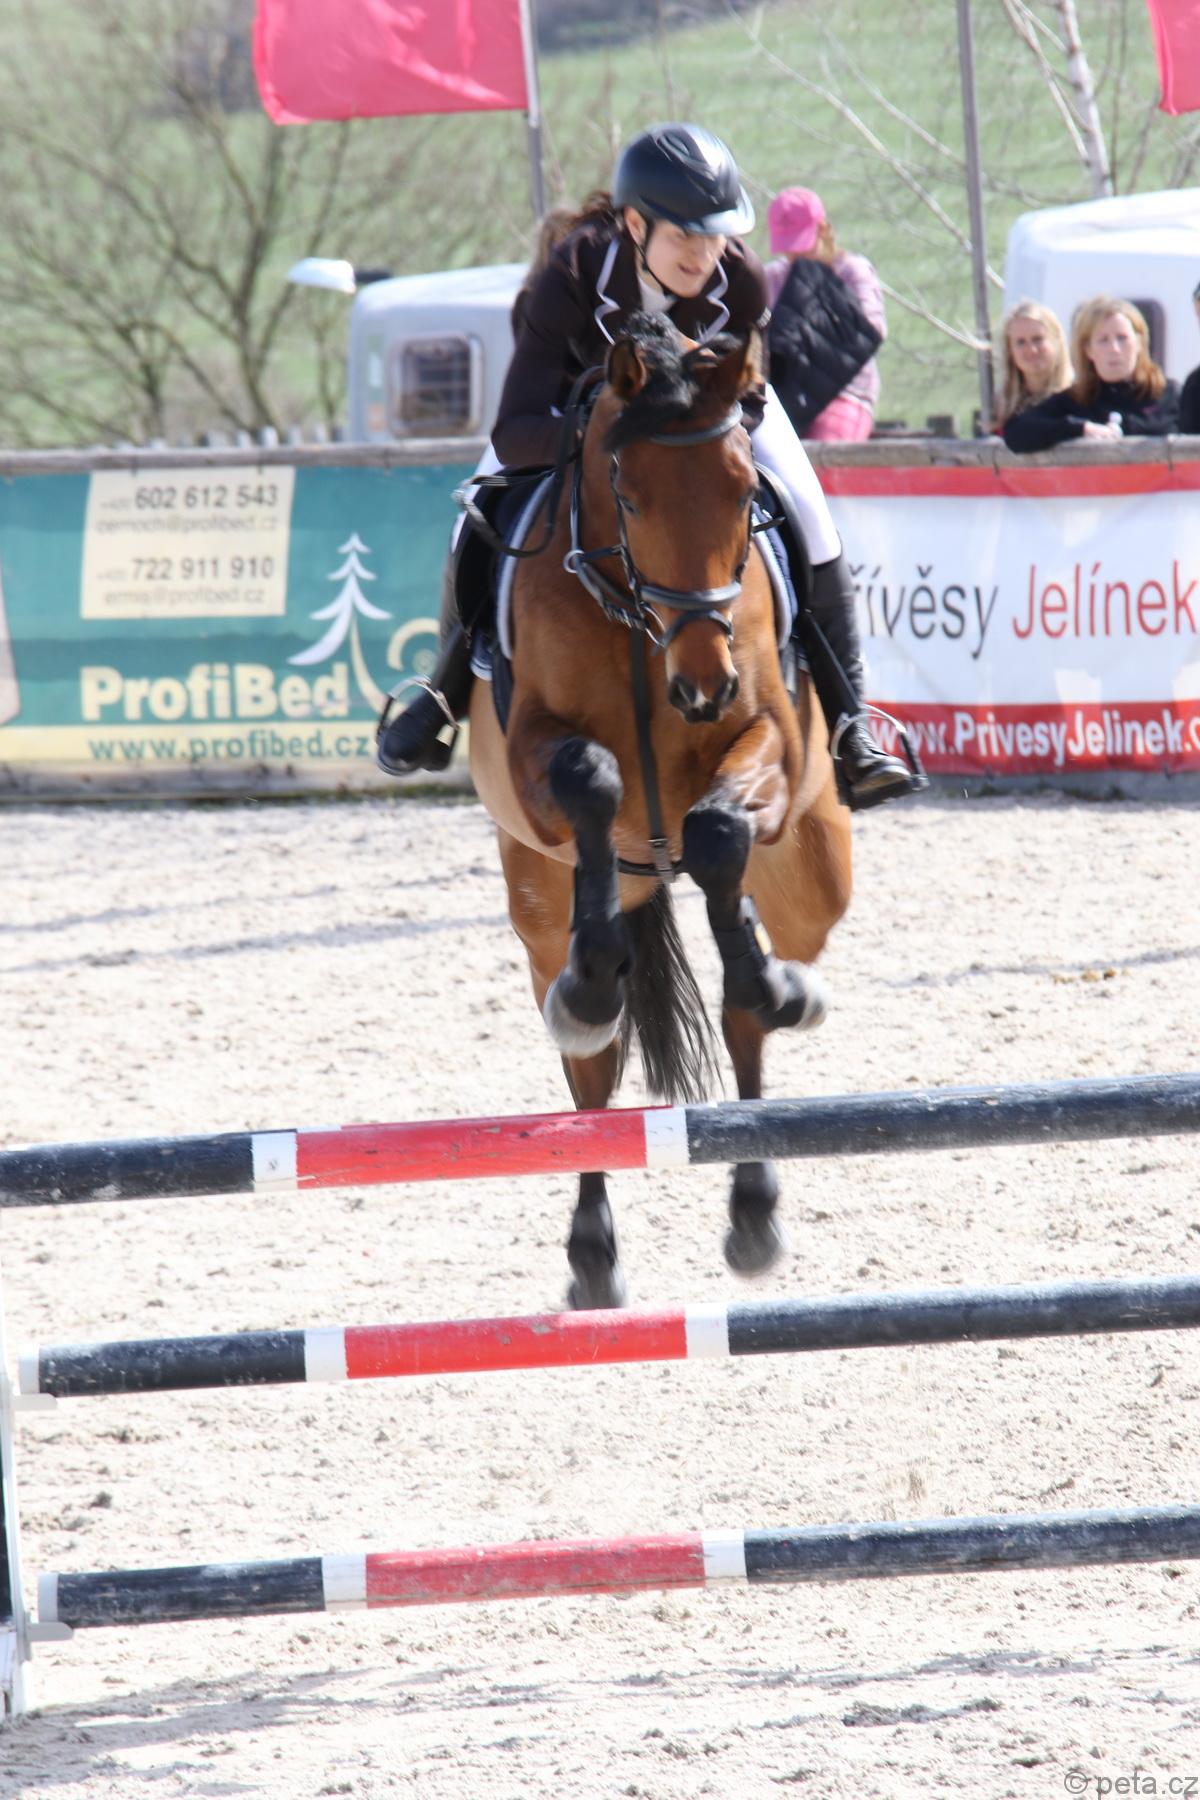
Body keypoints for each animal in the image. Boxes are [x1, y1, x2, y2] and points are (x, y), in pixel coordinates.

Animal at [469, 312, 852, 1308]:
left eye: (742, 494)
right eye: (630, 499)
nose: (703, 684)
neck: (642, 629)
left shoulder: (765, 742)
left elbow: (716, 831)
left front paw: (767, 982)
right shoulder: (538, 764)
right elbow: (593, 780)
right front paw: (594, 982)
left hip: (811, 866)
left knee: (751, 993)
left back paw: (755, 1201)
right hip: (537, 899)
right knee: (591, 1073)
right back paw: (592, 1250)